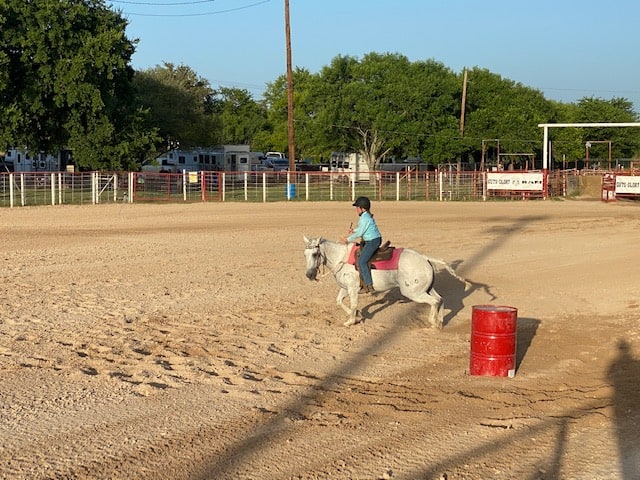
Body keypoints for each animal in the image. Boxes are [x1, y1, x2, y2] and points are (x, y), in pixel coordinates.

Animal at [302, 237, 468, 328]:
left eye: (315, 254)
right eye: (305, 254)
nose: (309, 275)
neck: (341, 258)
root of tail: (425, 258)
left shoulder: (353, 289)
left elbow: (353, 304)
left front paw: (351, 321)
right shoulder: (345, 287)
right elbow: (339, 301)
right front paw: (354, 315)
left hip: (413, 292)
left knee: (434, 301)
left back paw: (433, 322)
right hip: (426, 288)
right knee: (440, 299)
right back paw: (440, 321)